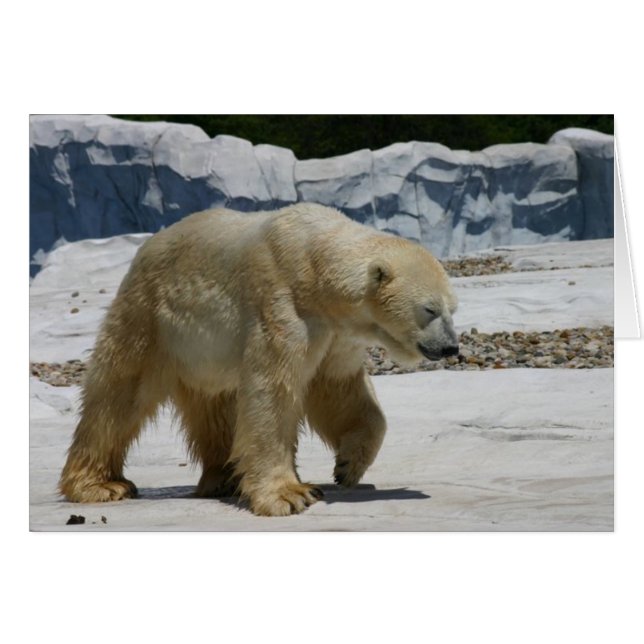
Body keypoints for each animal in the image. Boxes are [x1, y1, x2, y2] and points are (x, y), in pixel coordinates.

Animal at [59, 203, 459, 516]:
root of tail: (146, 247)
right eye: (429, 309)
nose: (451, 348)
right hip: (152, 317)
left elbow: (338, 388)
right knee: (121, 392)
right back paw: (101, 485)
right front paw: (290, 494)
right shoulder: (283, 305)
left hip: (203, 353)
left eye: (452, 308)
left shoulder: (337, 333)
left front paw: (348, 465)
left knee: (216, 407)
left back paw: (226, 479)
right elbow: (274, 391)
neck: (315, 264)